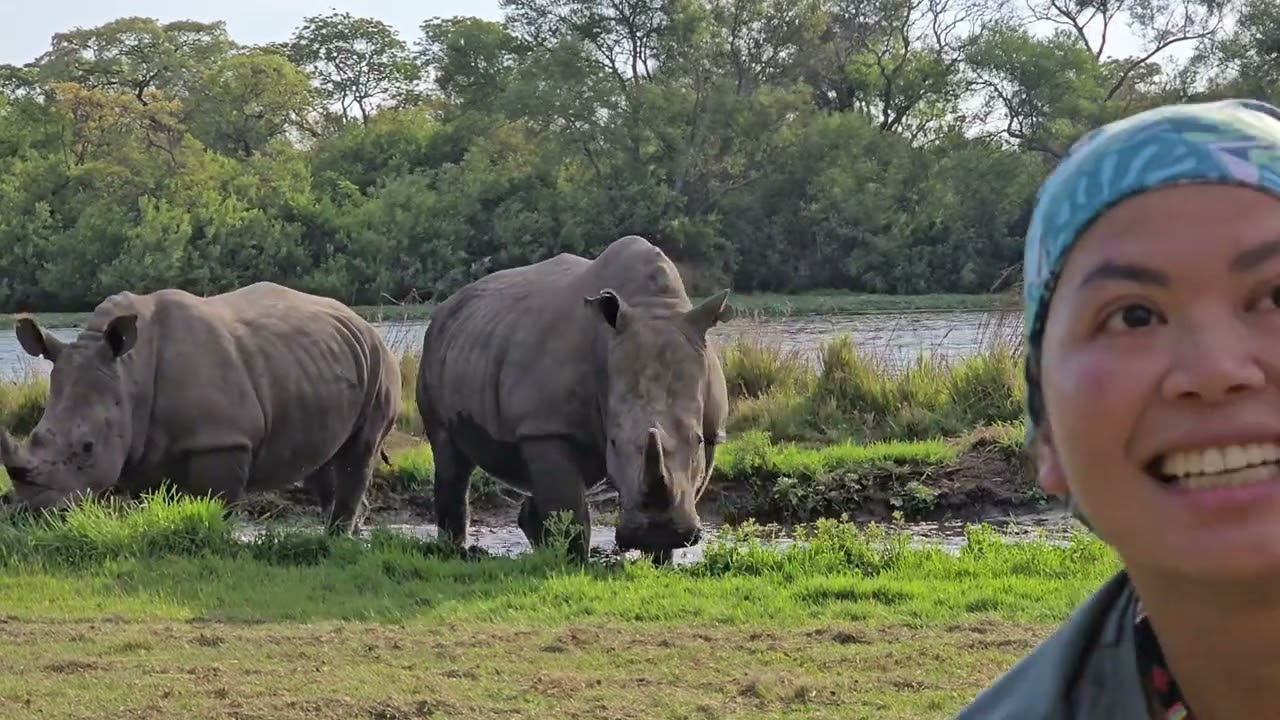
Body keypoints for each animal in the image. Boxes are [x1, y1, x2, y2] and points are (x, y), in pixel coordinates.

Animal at [0, 281, 401, 535]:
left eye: (87, 448)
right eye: (34, 435)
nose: (30, 513)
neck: (128, 373)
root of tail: (364, 322)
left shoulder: (223, 440)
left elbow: (217, 504)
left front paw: (216, 540)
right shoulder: (140, 447)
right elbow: (152, 502)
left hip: (379, 361)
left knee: (358, 453)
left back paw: (336, 538)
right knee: (323, 460)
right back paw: (346, 534)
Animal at [416, 235, 734, 562]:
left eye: (697, 440)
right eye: (614, 442)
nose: (657, 530)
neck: (653, 306)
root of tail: (444, 306)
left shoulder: (713, 428)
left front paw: (659, 555)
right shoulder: (546, 426)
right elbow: (569, 509)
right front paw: (573, 563)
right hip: (436, 348)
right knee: (450, 457)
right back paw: (454, 552)